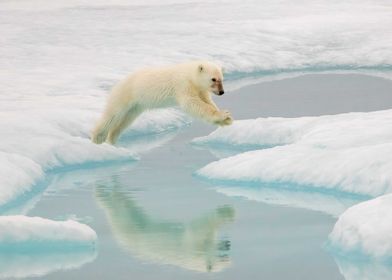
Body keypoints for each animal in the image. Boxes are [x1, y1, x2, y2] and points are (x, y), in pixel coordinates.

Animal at [91, 60, 233, 144]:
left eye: (221, 79)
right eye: (213, 79)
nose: (222, 92)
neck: (190, 75)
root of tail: (118, 84)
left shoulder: (200, 89)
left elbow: (207, 101)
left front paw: (226, 119)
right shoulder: (183, 85)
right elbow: (192, 104)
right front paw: (223, 115)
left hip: (136, 106)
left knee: (125, 121)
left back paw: (112, 139)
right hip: (125, 95)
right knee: (112, 115)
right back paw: (98, 137)